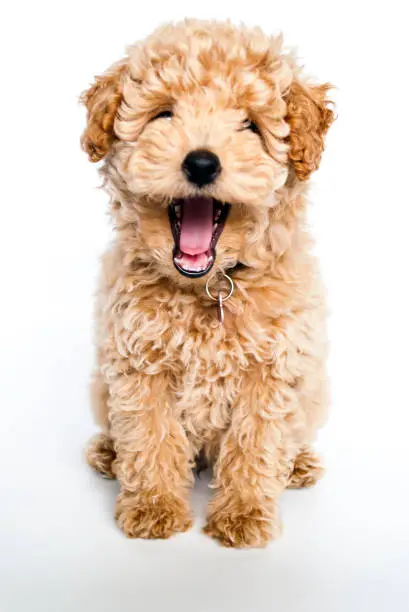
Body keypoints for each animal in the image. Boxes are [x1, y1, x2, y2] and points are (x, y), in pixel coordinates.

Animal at [81, 19, 334, 548]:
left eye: (250, 126)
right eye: (164, 114)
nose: (201, 163)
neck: (211, 285)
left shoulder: (273, 370)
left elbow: (256, 442)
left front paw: (244, 514)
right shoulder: (138, 364)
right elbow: (148, 434)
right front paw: (153, 507)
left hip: (315, 389)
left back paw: (298, 464)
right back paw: (109, 454)